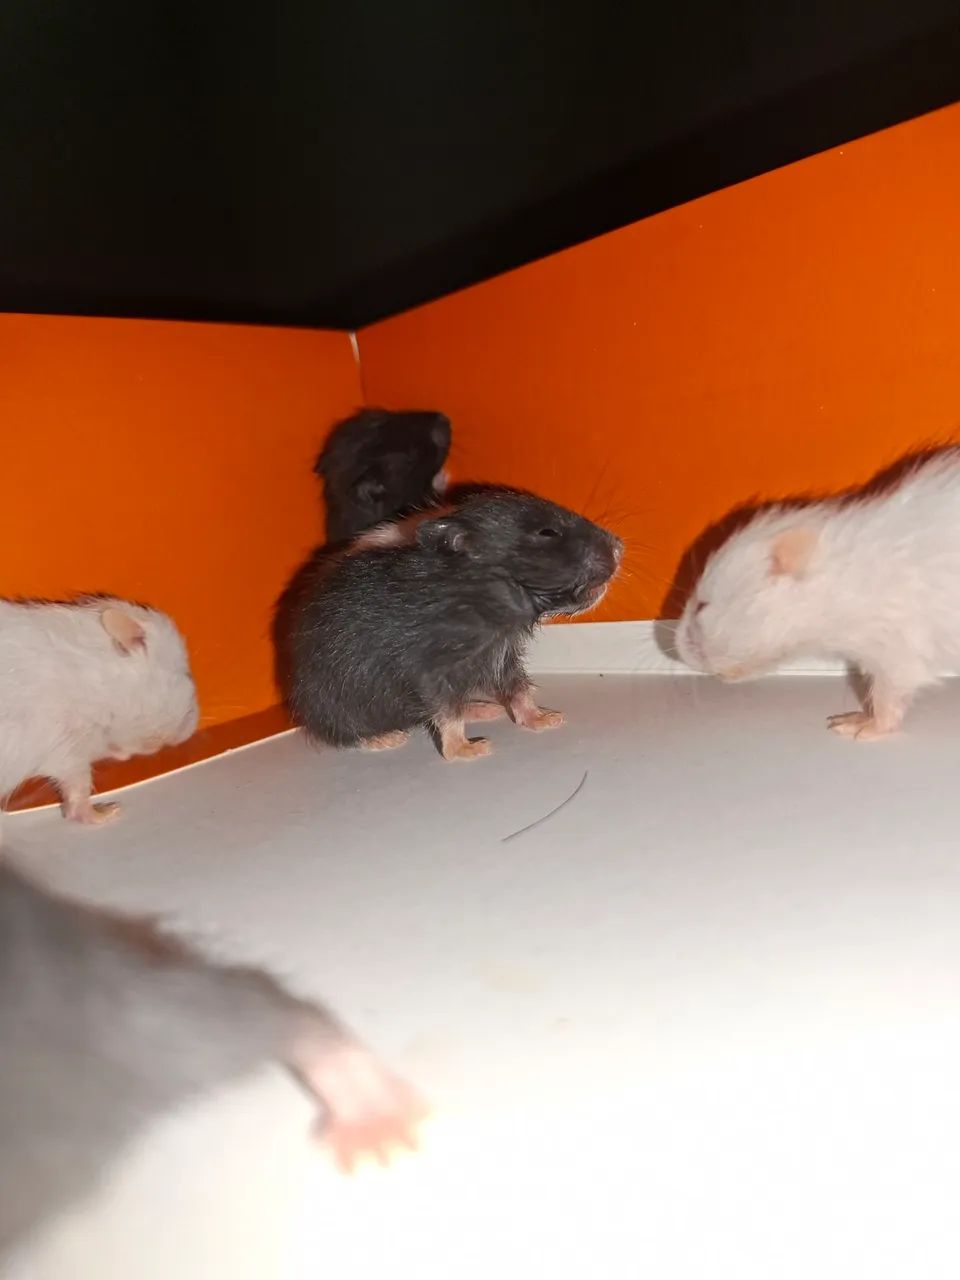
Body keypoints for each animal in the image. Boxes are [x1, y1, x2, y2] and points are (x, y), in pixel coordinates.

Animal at [277, 489, 622, 760]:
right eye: (547, 532)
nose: (620, 546)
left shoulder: (502, 654)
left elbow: (519, 691)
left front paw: (548, 719)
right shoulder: (429, 669)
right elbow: (447, 713)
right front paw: (470, 750)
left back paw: (485, 708)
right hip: (337, 702)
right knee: (342, 732)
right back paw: (385, 738)